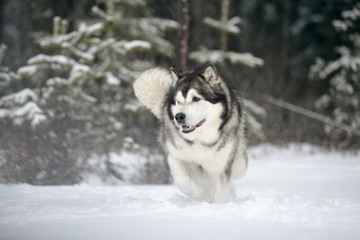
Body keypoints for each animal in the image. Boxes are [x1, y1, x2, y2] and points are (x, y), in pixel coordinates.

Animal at [133, 63, 248, 202]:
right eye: (178, 101)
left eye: (196, 98)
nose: (178, 116)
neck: (199, 139)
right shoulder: (174, 154)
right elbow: (181, 180)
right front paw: (195, 190)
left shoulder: (221, 166)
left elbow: (221, 193)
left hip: (240, 164)